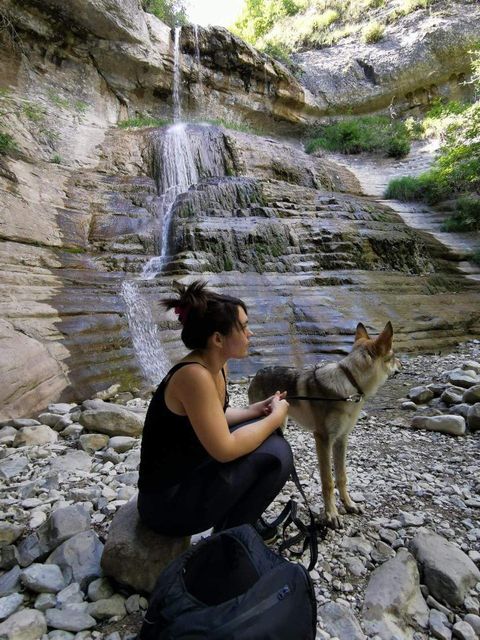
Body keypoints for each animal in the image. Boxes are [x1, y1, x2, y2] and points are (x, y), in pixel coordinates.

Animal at [249, 322, 400, 528]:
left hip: (281, 424)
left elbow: (342, 477)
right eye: (394, 356)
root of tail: (258, 372)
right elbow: (328, 481)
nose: (402, 364)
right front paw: (331, 515)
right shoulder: (323, 439)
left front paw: (349, 504)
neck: (351, 384)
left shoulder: (341, 439)